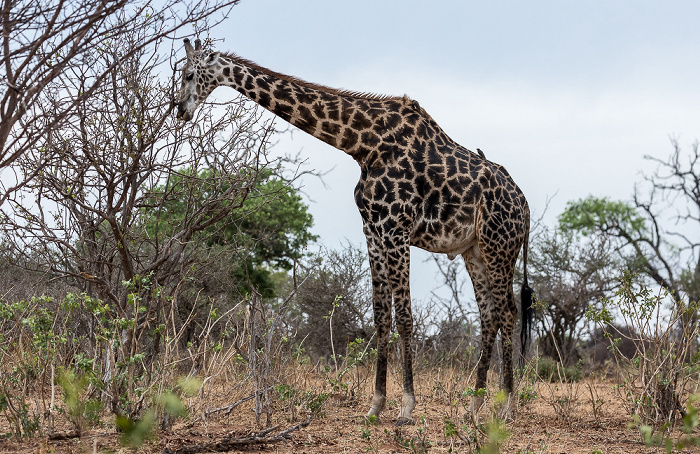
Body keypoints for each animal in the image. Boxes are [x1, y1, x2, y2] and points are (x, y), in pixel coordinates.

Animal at [178, 38, 532, 422]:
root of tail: (525, 207)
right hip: (474, 251)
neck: (363, 145)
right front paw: (376, 405)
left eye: (187, 74)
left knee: (507, 312)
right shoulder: (373, 231)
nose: (180, 110)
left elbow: (404, 317)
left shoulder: (396, 229)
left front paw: (406, 407)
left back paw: (507, 406)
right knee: (489, 315)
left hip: (500, 247)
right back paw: (475, 405)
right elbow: (380, 318)